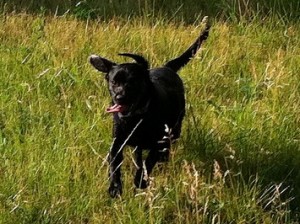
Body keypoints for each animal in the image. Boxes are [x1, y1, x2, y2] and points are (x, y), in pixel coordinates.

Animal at [89, 21, 209, 197]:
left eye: (132, 82)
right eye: (114, 82)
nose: (119, 97)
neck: (136, 117)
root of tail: (167, 67)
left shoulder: (159, 141)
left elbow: (149, 161)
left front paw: (140, 180)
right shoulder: (118, 141)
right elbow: (114, 164)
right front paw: (115, 187)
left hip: (174, 130)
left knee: (164, 149)